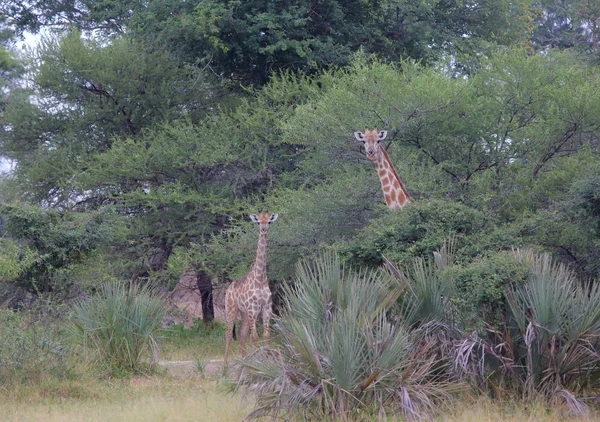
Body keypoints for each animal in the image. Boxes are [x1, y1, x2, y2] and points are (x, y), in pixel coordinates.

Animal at [224, 211, 278, 366]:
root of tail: (229, 288)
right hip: (231, 309)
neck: (260, 279)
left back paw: (244, 361)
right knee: (228, 334)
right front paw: (257, 362)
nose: (264, 230)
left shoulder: (266, 307)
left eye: (269, 221)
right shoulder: (253, 308)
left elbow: (266, 335)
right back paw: (224, 368)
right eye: (258, 222)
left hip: (243, 313)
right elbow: (254, 337)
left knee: (241, 334)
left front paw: (267, 361)